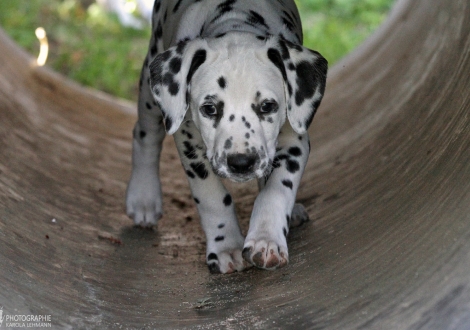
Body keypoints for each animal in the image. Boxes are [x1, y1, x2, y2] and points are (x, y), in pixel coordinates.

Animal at [126, 0, 328, 274]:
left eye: (267, 106)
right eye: (210, 108)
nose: (241, 163)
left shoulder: (294, 140)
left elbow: (276, 189)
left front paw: (265, 239)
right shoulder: (189, 145)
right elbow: (211, 196)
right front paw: (226, 246)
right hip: (151, 89)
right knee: (146, 135)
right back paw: (143, 198)